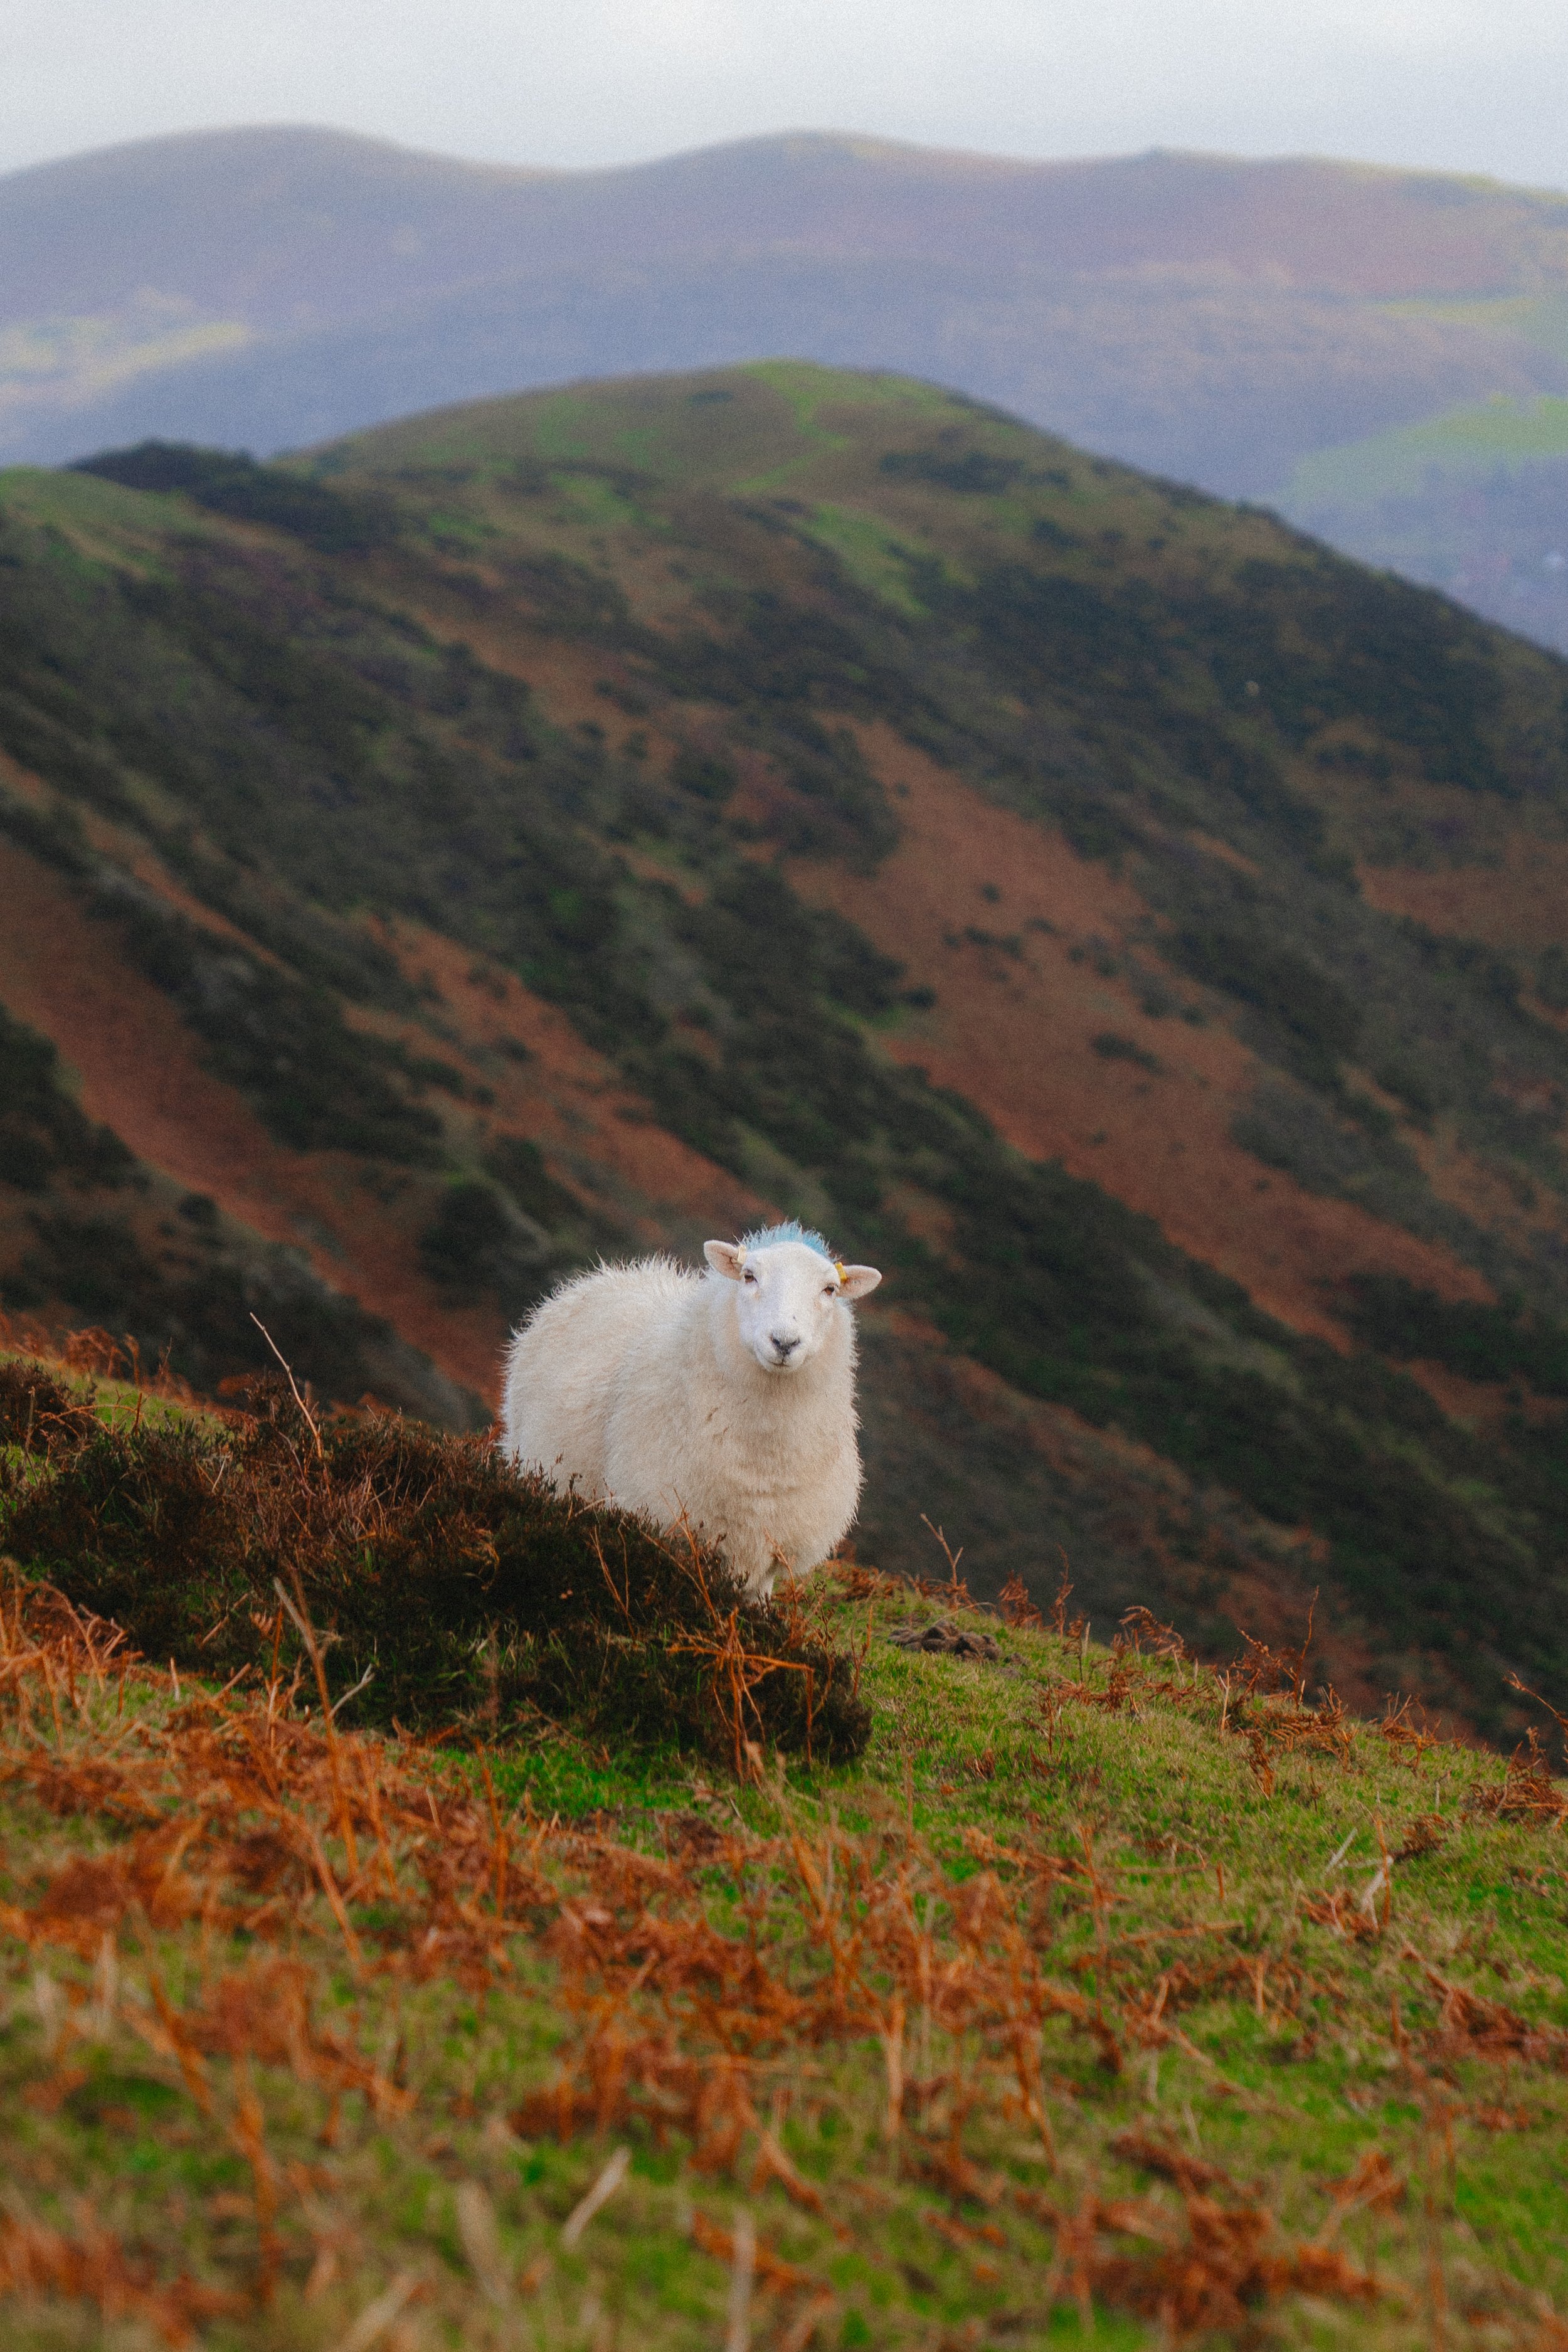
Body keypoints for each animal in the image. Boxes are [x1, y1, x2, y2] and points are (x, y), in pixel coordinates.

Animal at [500, 1221, 882, 1594]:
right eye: (749, 1276)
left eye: (830, 1289)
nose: (785, 1342)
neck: (764, 1464)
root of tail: (612, 1274)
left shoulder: (769, 1555)